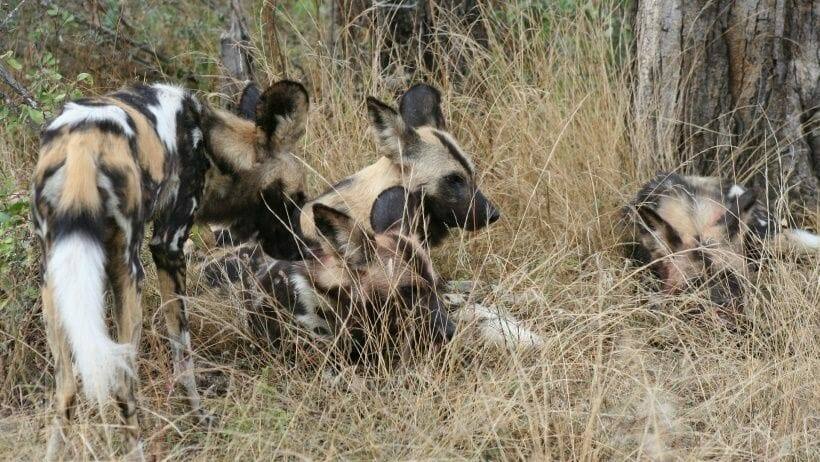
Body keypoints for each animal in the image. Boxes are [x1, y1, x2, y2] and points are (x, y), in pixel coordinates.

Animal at [32, 80, 310, 458]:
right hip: (129, 272)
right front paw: (200, 418)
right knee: (123, 384)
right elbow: (183, 352)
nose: (302, 249)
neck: (211, 144)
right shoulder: (169, 246)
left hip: (55, 279)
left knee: (65, 392)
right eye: (295, 199)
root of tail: (81, 147)